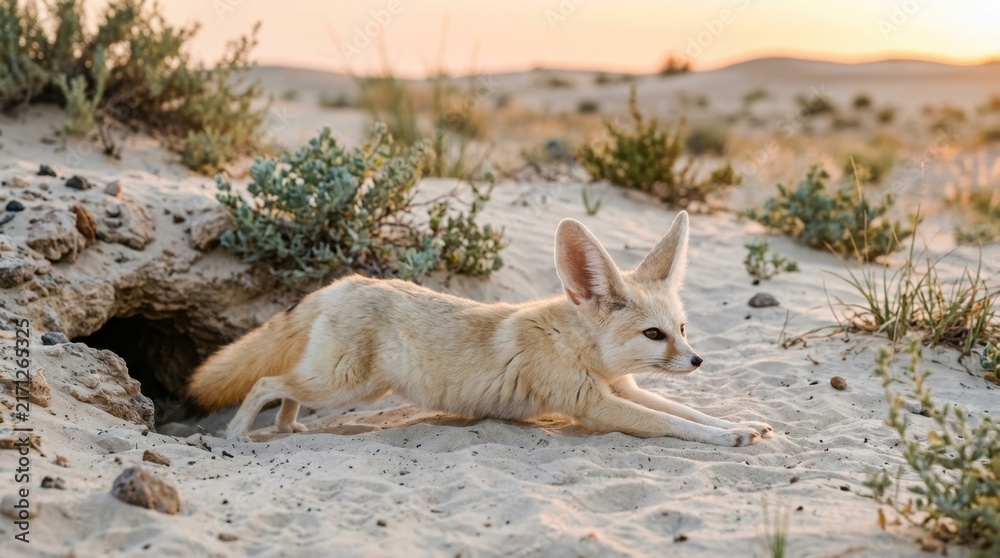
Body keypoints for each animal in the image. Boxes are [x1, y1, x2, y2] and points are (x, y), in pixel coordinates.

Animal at [184, 211, 773, 446]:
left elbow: (690, 412)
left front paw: (743, 425)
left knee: (284, 390)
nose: (697, 360)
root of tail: (344, 281)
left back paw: (287, 429)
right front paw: (728, 437)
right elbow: (674, 424)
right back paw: (237, 435)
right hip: (344, 387)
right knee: (266, 382)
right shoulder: (594, 405)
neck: (577, 347)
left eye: (682, 327)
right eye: (655, 335)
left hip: (342, 386)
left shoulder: (622, 389)